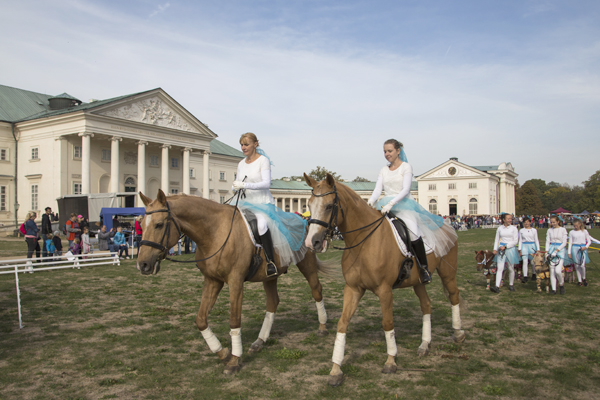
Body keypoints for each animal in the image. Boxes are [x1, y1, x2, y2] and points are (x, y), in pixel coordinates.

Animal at [136, 189, 332, 374]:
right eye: (141, 225)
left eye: (159, 224)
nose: (143, 265)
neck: (215, 232)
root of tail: (305, 221)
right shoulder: (212, 280)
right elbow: (201, 319)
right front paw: (222, 352)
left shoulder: (235, 281)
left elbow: (234, 320)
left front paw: (235, 360)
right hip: (269, 275)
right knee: (273, 302)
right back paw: (259, 341)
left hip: (306, 264)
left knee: (316, 290)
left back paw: (322, 327)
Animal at [304, 175, 464, 388]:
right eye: (309, 205)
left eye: (329, 206)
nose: (311, 243)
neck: (364, 242)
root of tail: (444, 222)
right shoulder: (353, 288)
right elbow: (342, 323)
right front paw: (336, 369)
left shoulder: (385, 290)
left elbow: (387, 323)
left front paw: (391, 361)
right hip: (418, 281)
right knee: (426, 305)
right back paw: (424, 344)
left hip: (448, 273)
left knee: (454, 296)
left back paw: (458, 333)